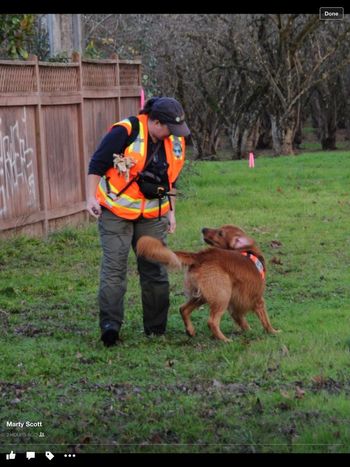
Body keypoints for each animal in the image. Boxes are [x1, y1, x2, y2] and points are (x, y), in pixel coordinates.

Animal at [137, 225, 278, 342]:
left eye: (220, 233)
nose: (203, 229)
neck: (246, 250)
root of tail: (200, 256)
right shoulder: (258, 300)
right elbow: (266, 320)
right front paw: (273, 332)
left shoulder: (235, 305)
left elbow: (242, 321)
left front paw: (248, 331)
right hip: (222, 295)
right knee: (212, 322)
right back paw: (224, 339)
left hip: (203, 295)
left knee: (183, 309)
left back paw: (190, 331)